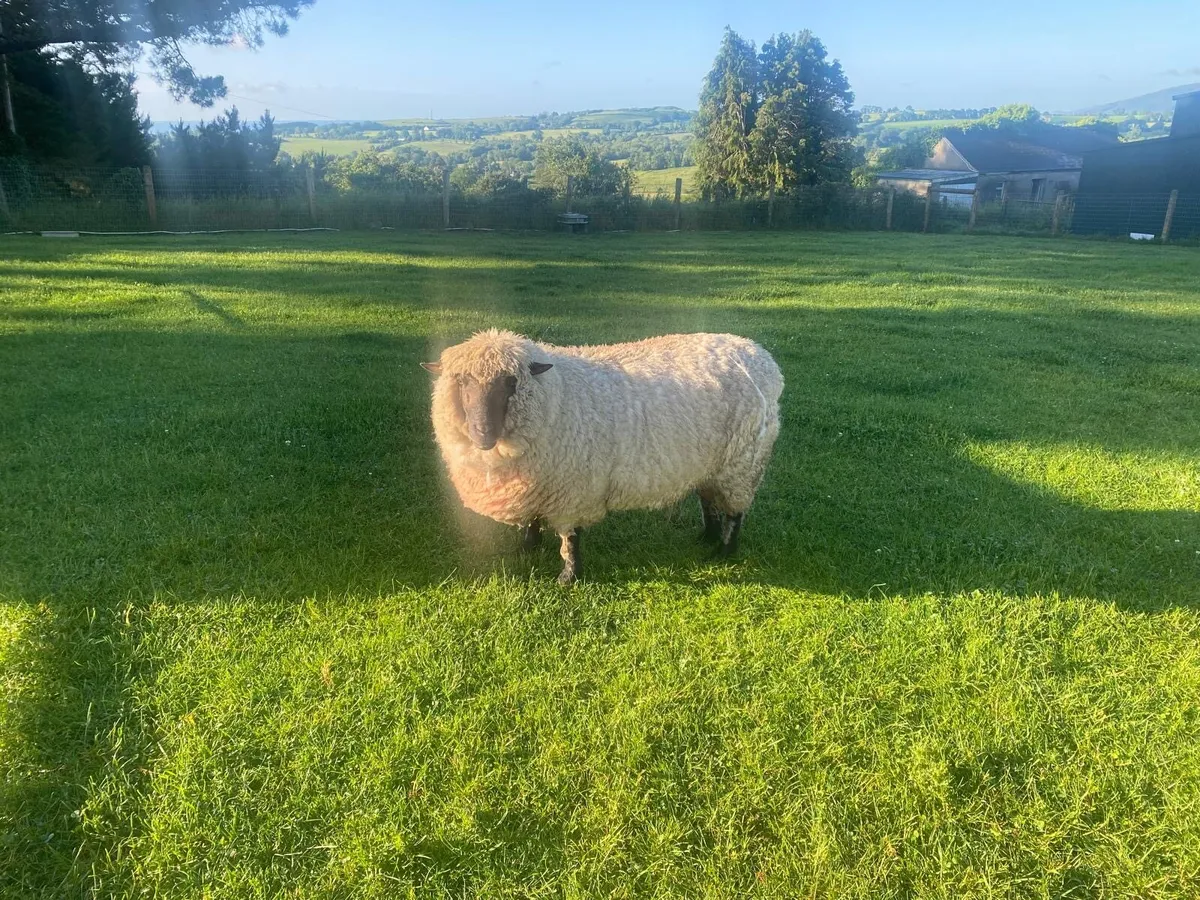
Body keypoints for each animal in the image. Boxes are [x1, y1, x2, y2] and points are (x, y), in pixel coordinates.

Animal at [421, 329, 783, 584]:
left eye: (511, 382)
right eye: (461, 381)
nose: (482, 433)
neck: (555, 394)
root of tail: (760, 356)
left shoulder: (573, 492)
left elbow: (570, 539)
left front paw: (569, 577)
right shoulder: (539, 485)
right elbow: (533, 520)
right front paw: (527, 547)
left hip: (741, 464)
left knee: (735, 512)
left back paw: (723, 551)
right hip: (710, 463)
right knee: (708, 500)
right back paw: (706, 536)